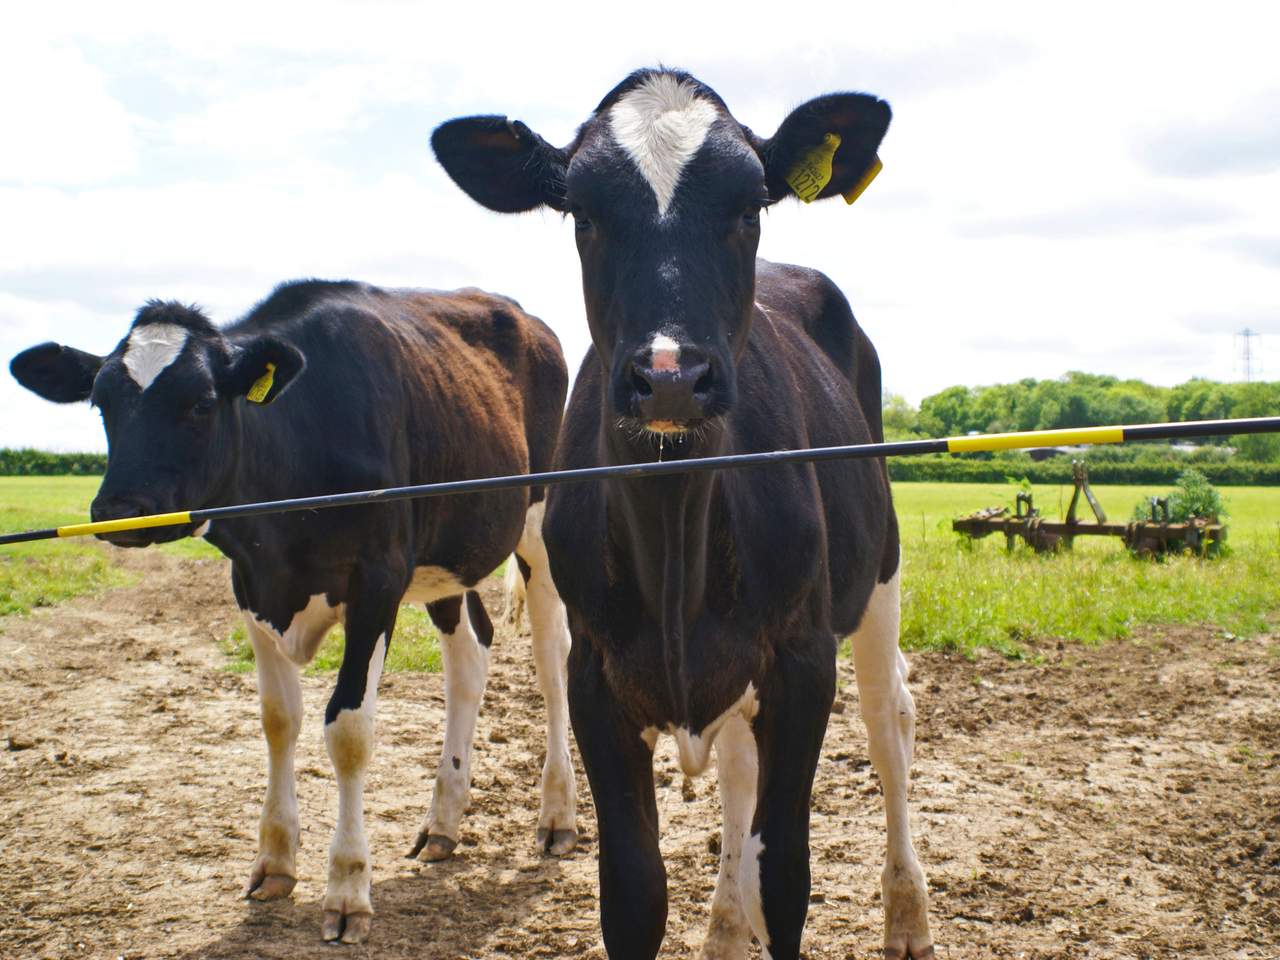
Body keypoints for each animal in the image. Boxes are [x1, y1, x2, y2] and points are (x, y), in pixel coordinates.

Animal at [8, 280, 577, 945]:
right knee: (469, 656)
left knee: (551, 657)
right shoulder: (252, 583)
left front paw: (348, 888)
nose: (120, 509)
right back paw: (443, 822)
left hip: (539, 522)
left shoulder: (378, 579)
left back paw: (557, 814)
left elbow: (349, 730)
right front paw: (275, 861)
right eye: (100, 403)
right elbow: (278, 719)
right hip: (448, 550)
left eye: (201, 403)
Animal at [432, 69, 933, 959]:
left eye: (751, 205)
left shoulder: (802, 661)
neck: (675, 531)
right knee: (737, 771)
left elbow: (786, 876)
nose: (670, 376)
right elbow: (634, 890)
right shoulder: (597, 674)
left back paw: (906, 916)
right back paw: (725, 929)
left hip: (880, 573)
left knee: (890, 725)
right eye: (583, 211)